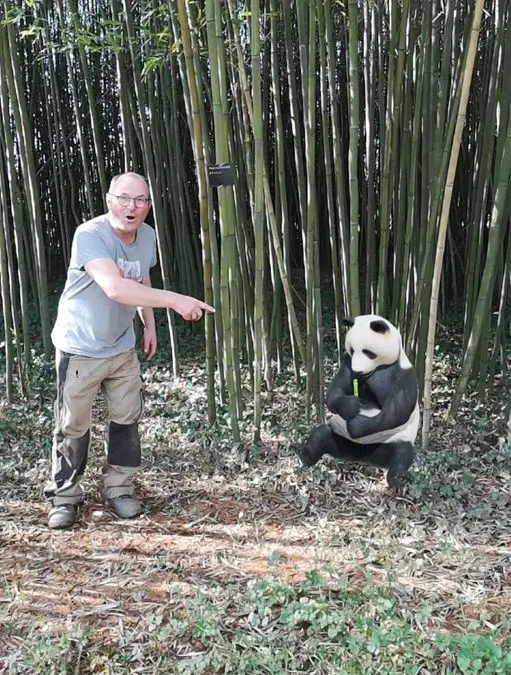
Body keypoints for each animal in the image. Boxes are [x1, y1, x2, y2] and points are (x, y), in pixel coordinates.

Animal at [292, 314, 420, 488]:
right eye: (352, 350)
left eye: (368, 352)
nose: (358, 371)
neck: (377, 368)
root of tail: (363, 457)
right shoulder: (348, 363)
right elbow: (335, 391)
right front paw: (351, 406)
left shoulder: (404, 374)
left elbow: (396, 412)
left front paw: (357, 425)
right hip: (340, 439)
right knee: (321, 434)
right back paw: (303, 453)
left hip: (392, 440)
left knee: (402, 452)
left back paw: (399, 477)